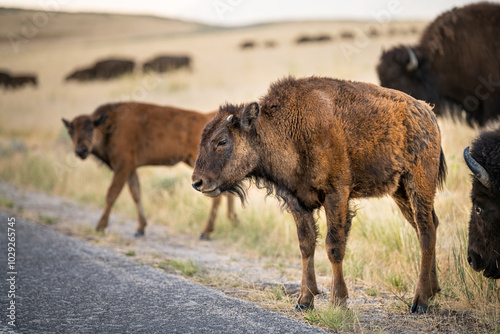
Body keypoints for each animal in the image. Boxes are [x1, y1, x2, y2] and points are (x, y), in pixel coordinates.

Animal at [61, 101, 237, 237]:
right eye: (70, 131)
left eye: (91, 129)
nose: (81, 150)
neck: (110, 126)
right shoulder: (130, 168)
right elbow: (136, 193)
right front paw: (140, 228)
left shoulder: (122, 166)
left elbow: (112, 194)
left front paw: (100, 227)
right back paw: (232, 221)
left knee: (217, 196)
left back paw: (206, 232)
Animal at [191, 75, 446, 314]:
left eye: (222, 141)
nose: (197, 182)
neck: (286, 128)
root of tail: (428, 114)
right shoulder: (297, 201)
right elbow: (306, 245)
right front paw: (304, 300)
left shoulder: (336, 196)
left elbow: (334, 246)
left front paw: (339, 301)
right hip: (400, 191)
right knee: (428, 226)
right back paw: (433, 290)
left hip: (419, 183)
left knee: (425, 231)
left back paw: (420, 302)